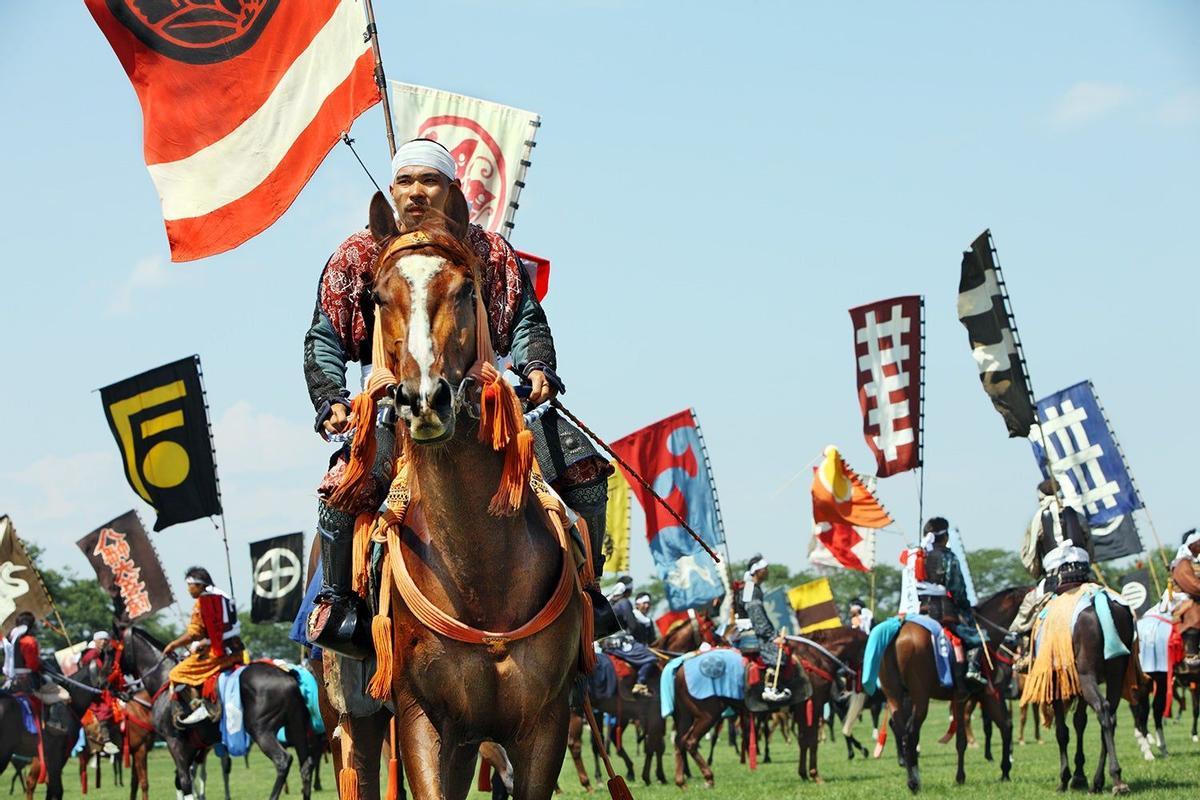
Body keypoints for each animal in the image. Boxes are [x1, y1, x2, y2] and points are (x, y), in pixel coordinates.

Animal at [873, 585, 1022, 791]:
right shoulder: (980, 696)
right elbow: (969, 738)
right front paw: (966, 776)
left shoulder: (974, 697)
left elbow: (1001, 727)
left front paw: (1003, 770)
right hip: (920, 699)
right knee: (911, 733)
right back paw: (914, 781)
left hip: (895, 696)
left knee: (901, 730)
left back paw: (910, 773)